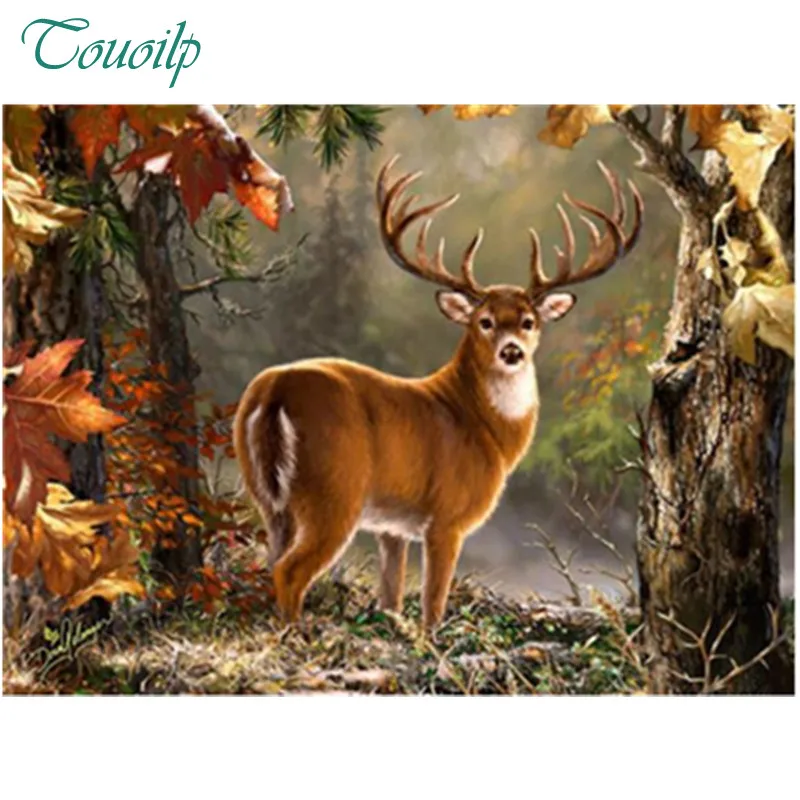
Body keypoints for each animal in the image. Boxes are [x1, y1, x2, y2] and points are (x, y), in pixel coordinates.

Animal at [233, 155, 643, 632]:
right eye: (484, 321)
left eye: (529, 321)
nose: (512, 351)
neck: (485, 430)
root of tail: (275, 390)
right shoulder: (448, 517)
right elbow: (433, 603)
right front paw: (430, 640)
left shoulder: (392, 526)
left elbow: (391, 595)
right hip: (334, 491)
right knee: (290, 570)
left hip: (267, 496)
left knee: (270, 561)